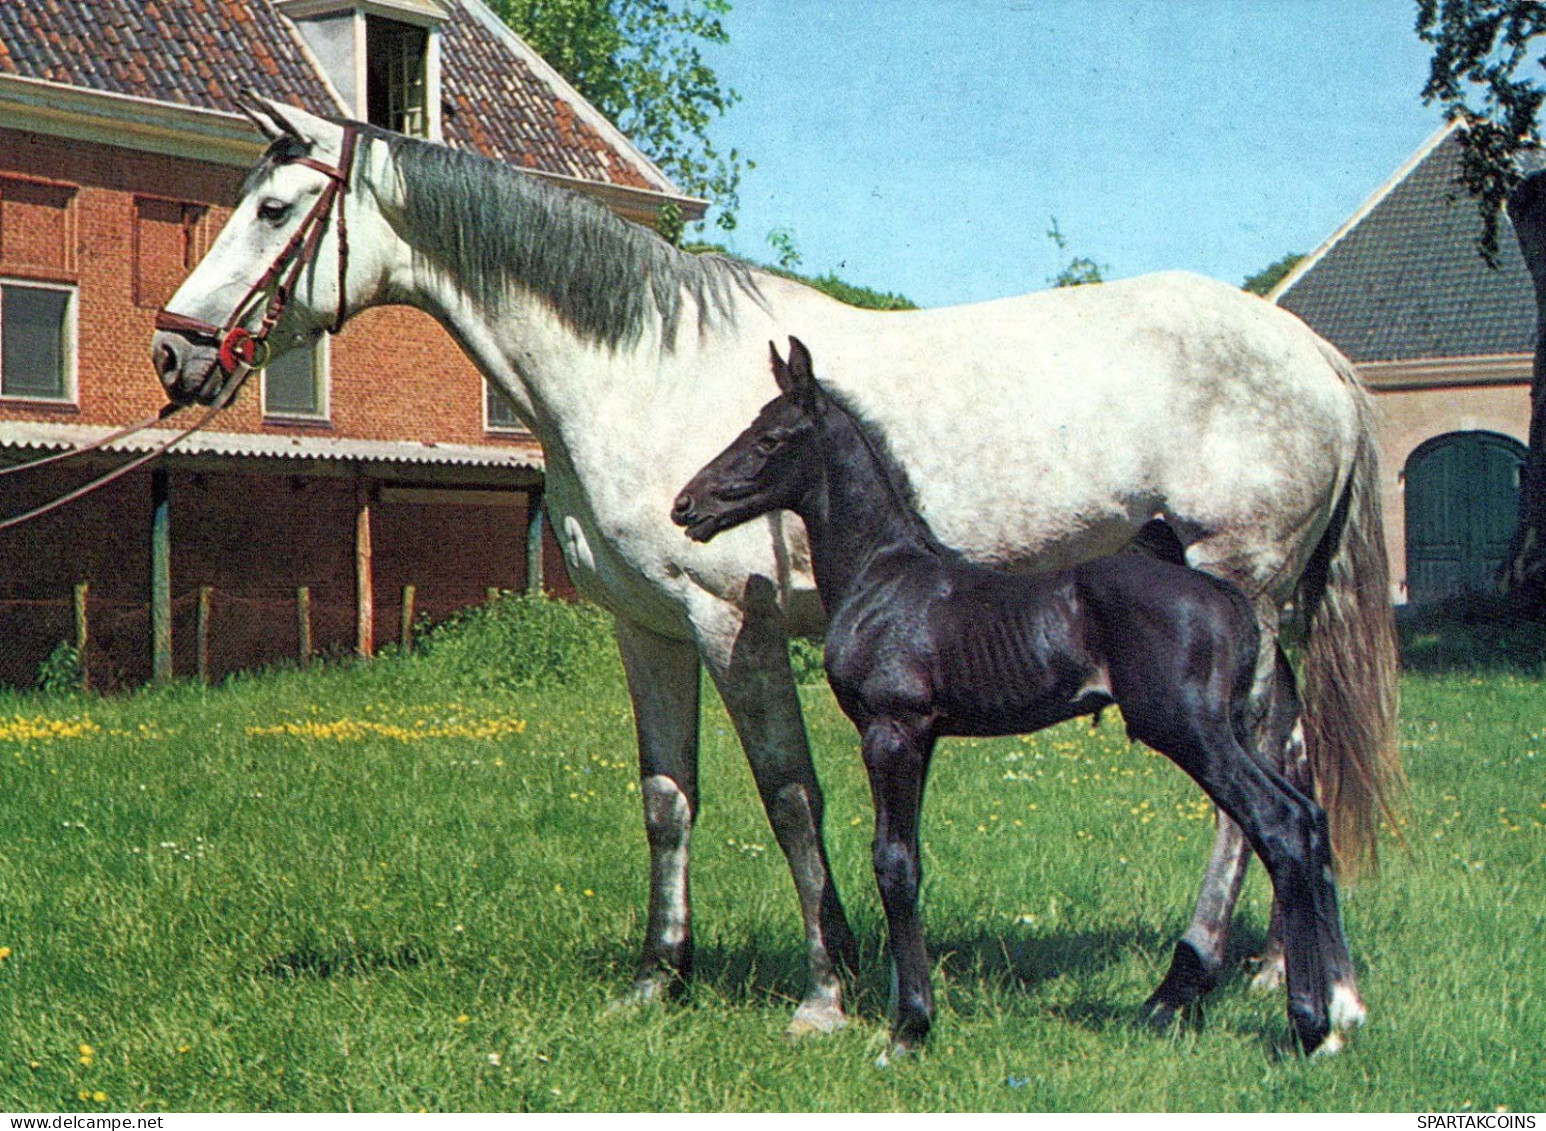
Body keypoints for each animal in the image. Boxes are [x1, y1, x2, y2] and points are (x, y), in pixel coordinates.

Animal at [670, 338, 1360, 1063]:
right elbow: (908, 858)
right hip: (1226, 730)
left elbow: (893, 863)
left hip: (1190, 731)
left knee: (1278, 823)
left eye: (769, 438)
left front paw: (908, 1029)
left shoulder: (890, 729)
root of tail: (1230, 601)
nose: (686, 505)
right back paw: (1330, 1015)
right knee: (1308, 816)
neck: (882, 574)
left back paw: (1307, 1025)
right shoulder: (924, 737)